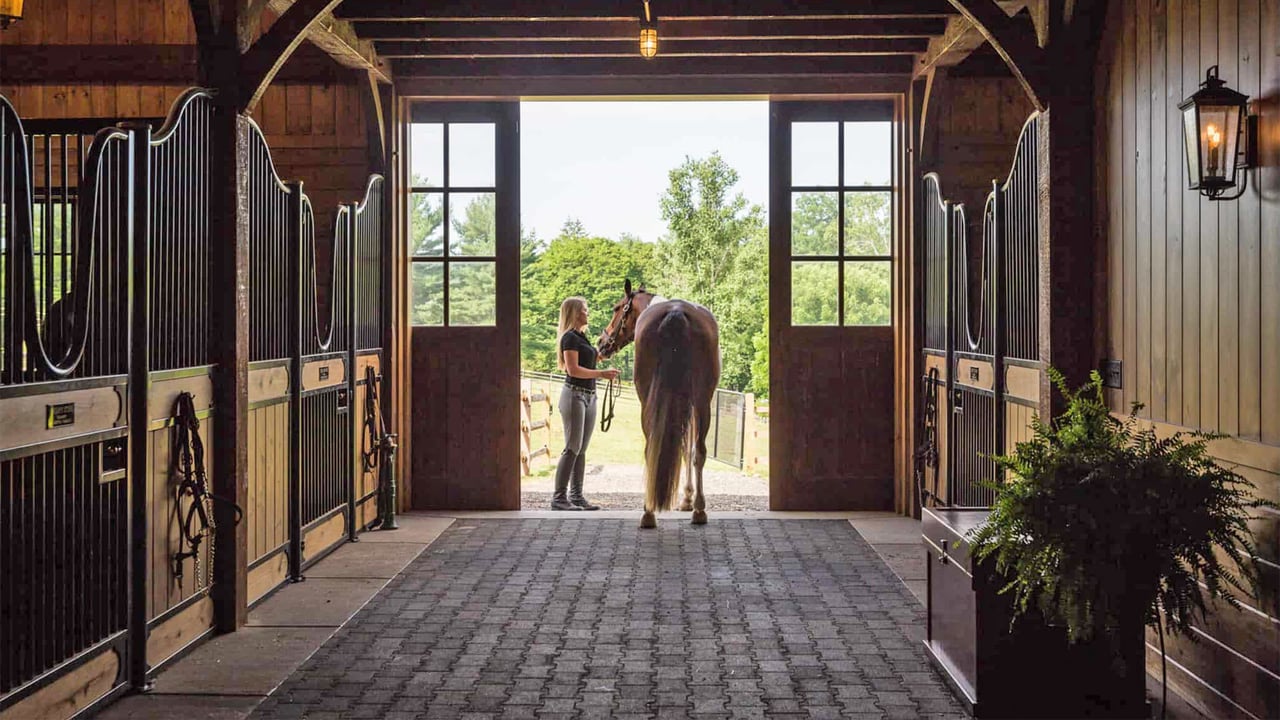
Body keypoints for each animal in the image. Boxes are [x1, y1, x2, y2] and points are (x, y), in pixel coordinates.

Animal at [596, 278, 721, 525]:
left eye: (617, 308)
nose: (602, 343)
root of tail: (676, 312)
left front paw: (687, 499)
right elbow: (689, 449)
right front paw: (688, 500)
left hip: (650, 400)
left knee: (653, 450)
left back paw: (652, 511)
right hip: (702, 400)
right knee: (698, 451)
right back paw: (697, 511)